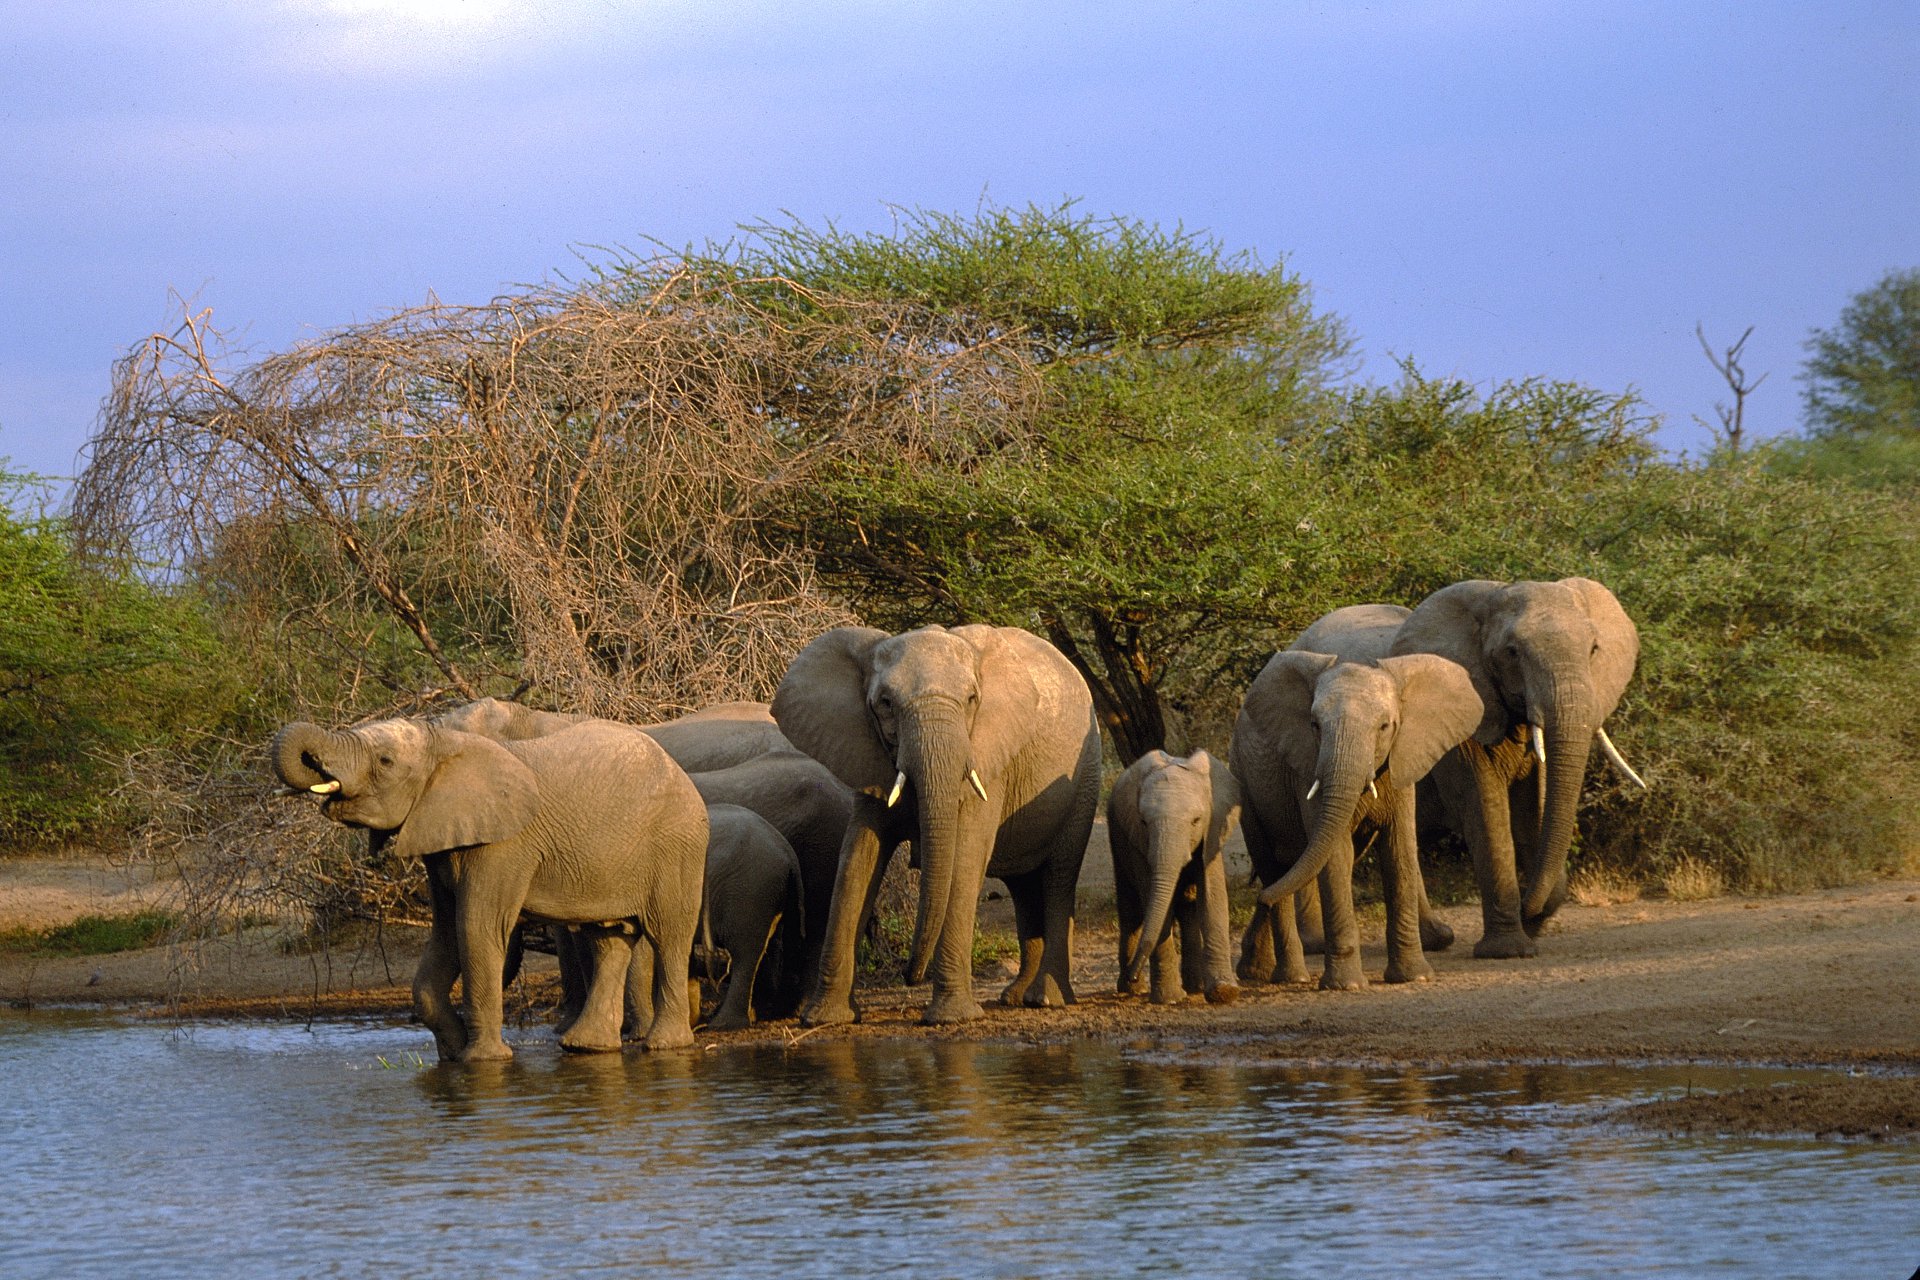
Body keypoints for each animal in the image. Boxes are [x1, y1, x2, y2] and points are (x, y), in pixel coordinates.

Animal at [274, 710, 710, 1059]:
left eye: (385, 760)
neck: (446, 744)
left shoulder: (504, 843)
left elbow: (476, 929)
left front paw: (482, 1060)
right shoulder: (441, 840)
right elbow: (445, 936)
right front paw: (451, 1053)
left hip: (677, 847)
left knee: (669, 936)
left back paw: (664, 1046)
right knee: (608, 938)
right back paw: (586, 1047)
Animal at [764, 625, 1098, 1028]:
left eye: (971, 700)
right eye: (886, 703)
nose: (910, 976)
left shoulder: (985, 757)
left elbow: (966, 855)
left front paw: (951, 1018)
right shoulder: (868, 753)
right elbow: (858, 858)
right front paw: (824, 1019)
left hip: (1085, 776)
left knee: (1059, 876)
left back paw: (1046, 999)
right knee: (1023, 885)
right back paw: (1016, 997)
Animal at [1113, 744, 1244, 1005]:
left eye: (1196, 821)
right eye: (1143, 822)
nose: (1134, 974)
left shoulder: (1212, 832)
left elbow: (1213, 898)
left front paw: (1224, 992)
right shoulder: (1137, 843)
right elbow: (1154, 902)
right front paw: (1169, 999)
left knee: (1187, 905)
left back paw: (1193, 987)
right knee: (1131, 911)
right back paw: (1132, 989)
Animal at [1228, 606, 1482, 990]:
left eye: (1385, 727)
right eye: (1314, 726)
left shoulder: (1399, 761)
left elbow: (1399, 849)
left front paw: (1414, 977)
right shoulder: (1307, 766)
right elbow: (1335, 854)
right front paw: (1346, 985)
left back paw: (1255, 968)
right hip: (1245, 780)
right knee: (1275, 867)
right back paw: (1291, 975)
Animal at [1390, 579, 1643, 959]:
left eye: (1594, 649)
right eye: (1511, 653)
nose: (1525, 905)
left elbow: (1532, 811)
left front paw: (1532, 924)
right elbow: (1485, 810)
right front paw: (1509, 950)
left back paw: (1437, 940)